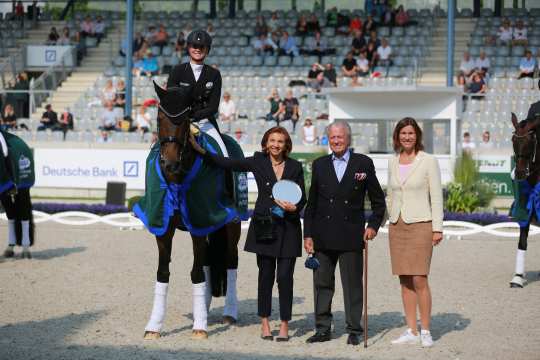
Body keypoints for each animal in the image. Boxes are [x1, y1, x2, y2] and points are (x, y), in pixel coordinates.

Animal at [139, 82, 240, 340]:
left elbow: (196, 273)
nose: (169, 163)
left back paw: (229, 313)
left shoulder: (199, 221)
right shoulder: (164, 228)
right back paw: (202, 308)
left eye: (185, 119)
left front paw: (200, 327)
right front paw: (154, 326)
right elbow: (163, 272)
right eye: (159, 117)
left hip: (230, 224)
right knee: (207, 262)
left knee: (230, 261)